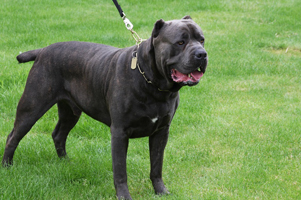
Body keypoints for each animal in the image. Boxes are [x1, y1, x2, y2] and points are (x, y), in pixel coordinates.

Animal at [1, 16, 206, 200]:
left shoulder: (161, 131)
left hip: (70, 111)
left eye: (202, 40)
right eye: (180, 42)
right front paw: (124, 196)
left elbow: (156, 165)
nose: (202, 54)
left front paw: (161, 192)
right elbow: (120, 170)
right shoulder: (120, 132)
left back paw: (65, 162)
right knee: (13, 136)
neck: (153, 83)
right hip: (32, 106)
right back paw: (7, 167)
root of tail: (43, 51)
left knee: (58, 134)